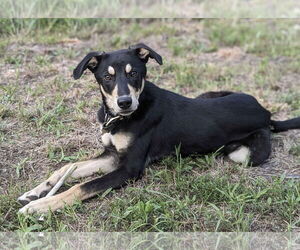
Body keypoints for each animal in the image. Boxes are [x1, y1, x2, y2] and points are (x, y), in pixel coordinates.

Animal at [18, 43, 300, 213]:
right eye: (107, 77)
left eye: (134, 73)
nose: (124, 102)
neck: (120, 118)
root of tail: (266, 113)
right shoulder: (112, 157)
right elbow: (67, 168)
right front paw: (35, 192)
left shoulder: (129, 169)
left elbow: (81, 186)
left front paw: (41, 206)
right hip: (208, 94)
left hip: (244, 154)